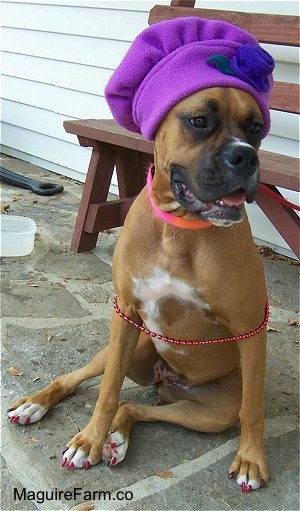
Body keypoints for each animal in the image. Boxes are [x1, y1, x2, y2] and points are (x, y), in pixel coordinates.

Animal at [7, 18, 274, 494]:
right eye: (199, 121)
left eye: (257, 127)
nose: (245, 156)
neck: (180, 231)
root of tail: (169, 382)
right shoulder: (125, 315)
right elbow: (108, 389)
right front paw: (88, 441)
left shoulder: (250, 330)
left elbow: (253, 409)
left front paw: (250, 459)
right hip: (129, 346)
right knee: (80, 380)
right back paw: (38, 405)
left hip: (209, 411)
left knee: (137, 409)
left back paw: (118, 436)